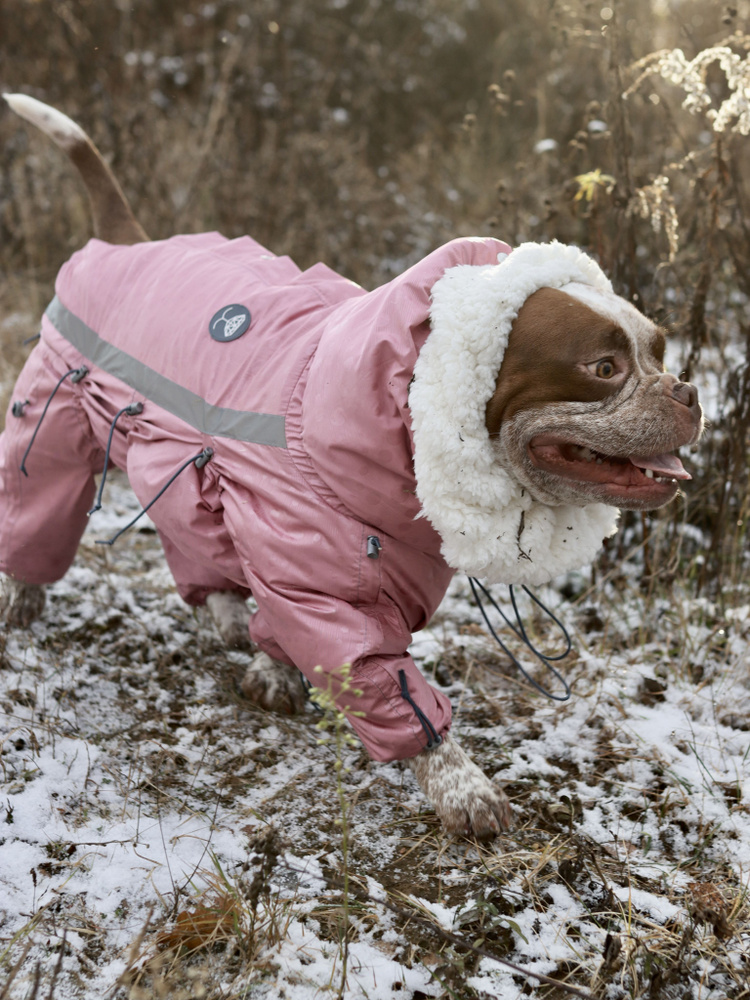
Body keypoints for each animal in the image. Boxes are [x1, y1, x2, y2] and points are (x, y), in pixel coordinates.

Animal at [0, 97, 704, 840]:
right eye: (604, 368)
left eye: (660, 351)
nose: (687, 391)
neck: (403, 410)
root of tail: (124, 241)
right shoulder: (323, 577)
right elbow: (388, 687)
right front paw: (463, 789)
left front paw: (269, 665)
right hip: (53, 416)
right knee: (36, 508)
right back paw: (23, 598)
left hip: (181, 461)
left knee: (190, 534)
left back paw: (223, 613)